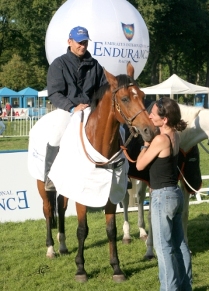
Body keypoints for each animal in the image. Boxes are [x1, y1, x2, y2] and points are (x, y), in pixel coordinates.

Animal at [28, 62, 158, 284]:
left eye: (142, 95)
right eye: (125, 98)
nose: (151, 130)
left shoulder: (110, 195)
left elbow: (111, 230)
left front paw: (116, 268)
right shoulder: (82, 196)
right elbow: (82, 230)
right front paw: (80, 269)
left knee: (61, 206)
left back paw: (62, 245)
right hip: (41, 183)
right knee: (47, 209)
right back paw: (51, 248)